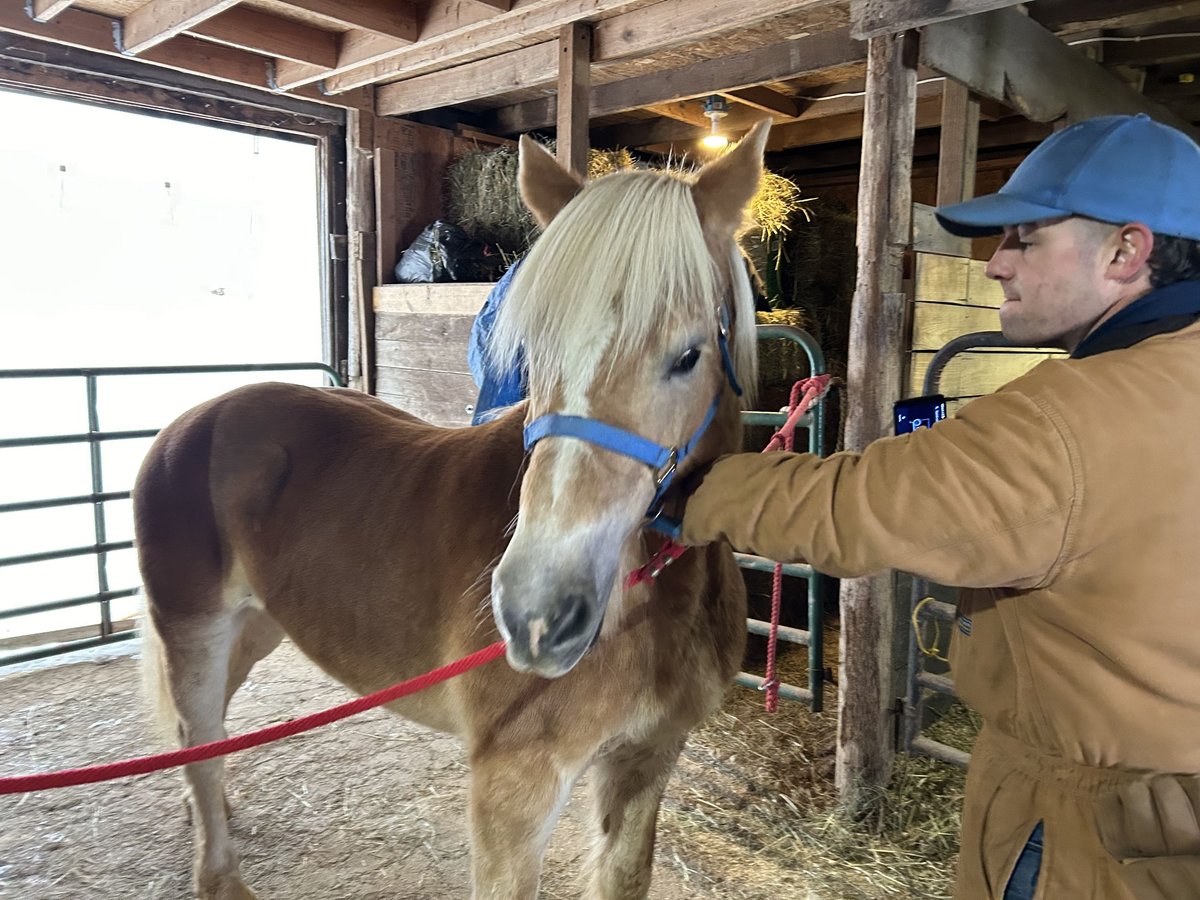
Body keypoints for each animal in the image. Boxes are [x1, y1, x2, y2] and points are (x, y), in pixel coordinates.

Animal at [131, 121, 768, 900]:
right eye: (531, 356)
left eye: (688, 355)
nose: (536, 614)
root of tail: (190, 422)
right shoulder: (513, 794)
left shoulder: (646, 763)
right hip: (194, 630)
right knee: (198, 741)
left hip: (254, 627)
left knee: (209, 736)